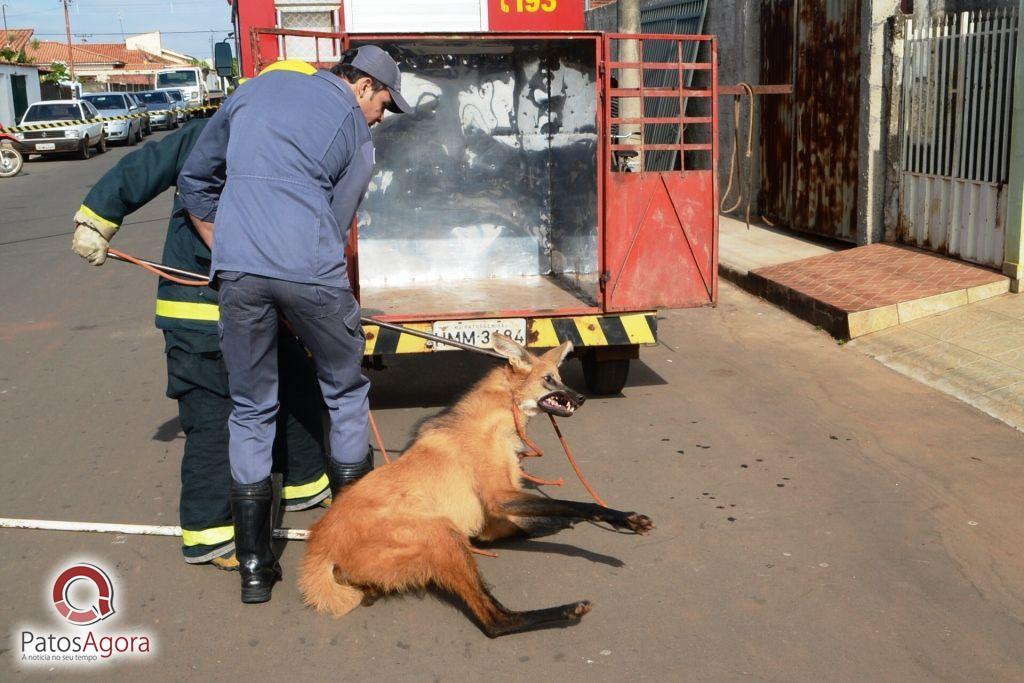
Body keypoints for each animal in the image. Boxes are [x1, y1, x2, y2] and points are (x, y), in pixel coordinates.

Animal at [299, 333, 655, 638]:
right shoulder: (499, 499)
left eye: (559, 377)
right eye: (549, 379)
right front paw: (623, 518)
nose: (580, 398)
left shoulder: (491, 519)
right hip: (441, 535)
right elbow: (576, 505)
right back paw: (566, 610)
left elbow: (540, 520)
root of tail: (319, 544)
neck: (502, 416)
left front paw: (564, 524)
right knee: (495, 621)